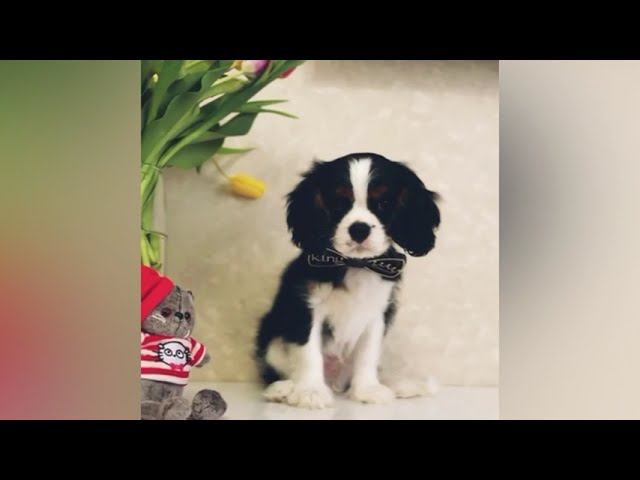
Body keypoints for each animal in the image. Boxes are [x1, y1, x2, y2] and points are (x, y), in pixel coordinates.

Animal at [255, 153, 441, 409]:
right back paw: (284, 389)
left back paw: (400, 385)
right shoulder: (306, 308)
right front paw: (310, 391)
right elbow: (309, 351)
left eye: (383, 203)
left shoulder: (376, 315)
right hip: (271, 338)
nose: (359, 229)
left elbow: (367, 355)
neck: (355, 264)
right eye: (338, 203)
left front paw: (368, 389)